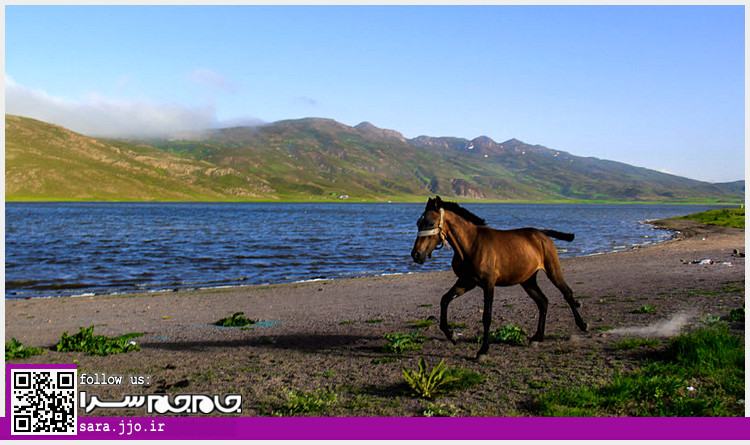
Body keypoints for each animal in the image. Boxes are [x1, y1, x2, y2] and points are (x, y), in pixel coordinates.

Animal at [410, 196, 588, 360]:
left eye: (430, 223)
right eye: (418, 223)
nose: (416, 255)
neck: (471, 245)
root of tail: (542, 233)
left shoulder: (488, 284)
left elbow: (487, 316)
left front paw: (483, 350)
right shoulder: (466, 282)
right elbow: (444, 300)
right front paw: (452, 336)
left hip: (553, 270)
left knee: (567, 293)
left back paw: (583, 325)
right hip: (528, 280)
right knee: (543, 301)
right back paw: (537, 337)